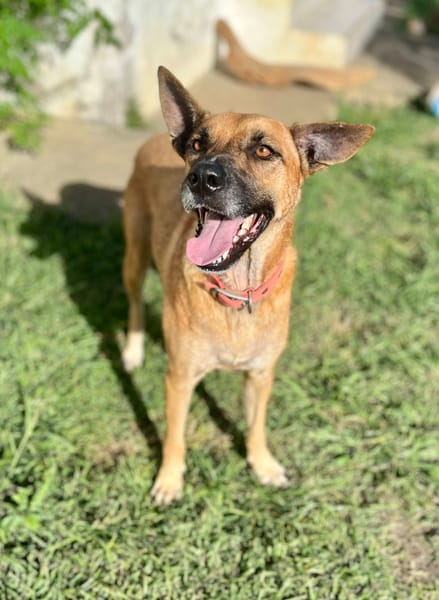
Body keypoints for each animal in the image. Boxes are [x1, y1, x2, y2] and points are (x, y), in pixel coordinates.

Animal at [122, 66, 374, 505]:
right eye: (198, 143)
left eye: (264, 152)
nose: (202, 177)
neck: (237, 291)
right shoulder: (179, 378)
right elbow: (174, 437)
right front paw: (169, 480)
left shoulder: (260, 375)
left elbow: (256, 426)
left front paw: (263, 465)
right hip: (134, 258)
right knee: (135, 303)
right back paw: (133, 351)